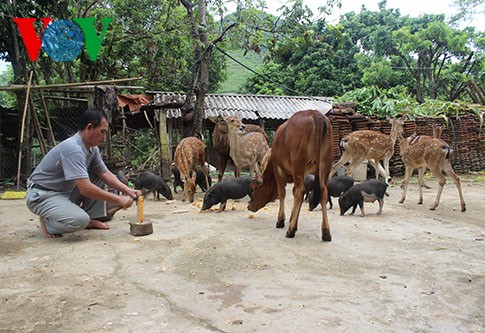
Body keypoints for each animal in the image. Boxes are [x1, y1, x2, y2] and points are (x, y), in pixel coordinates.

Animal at [250, 109, 332, 241]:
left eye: (253, 189)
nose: (249, 206)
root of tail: (315, 113)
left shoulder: (278, 168)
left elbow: (282, 193)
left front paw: (281, 220)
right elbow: (293, 192)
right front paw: (292, 217)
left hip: (298, 162)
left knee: (300, 191)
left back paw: (291, 230)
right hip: (325, 163)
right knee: (323, 191)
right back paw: (326, 232)